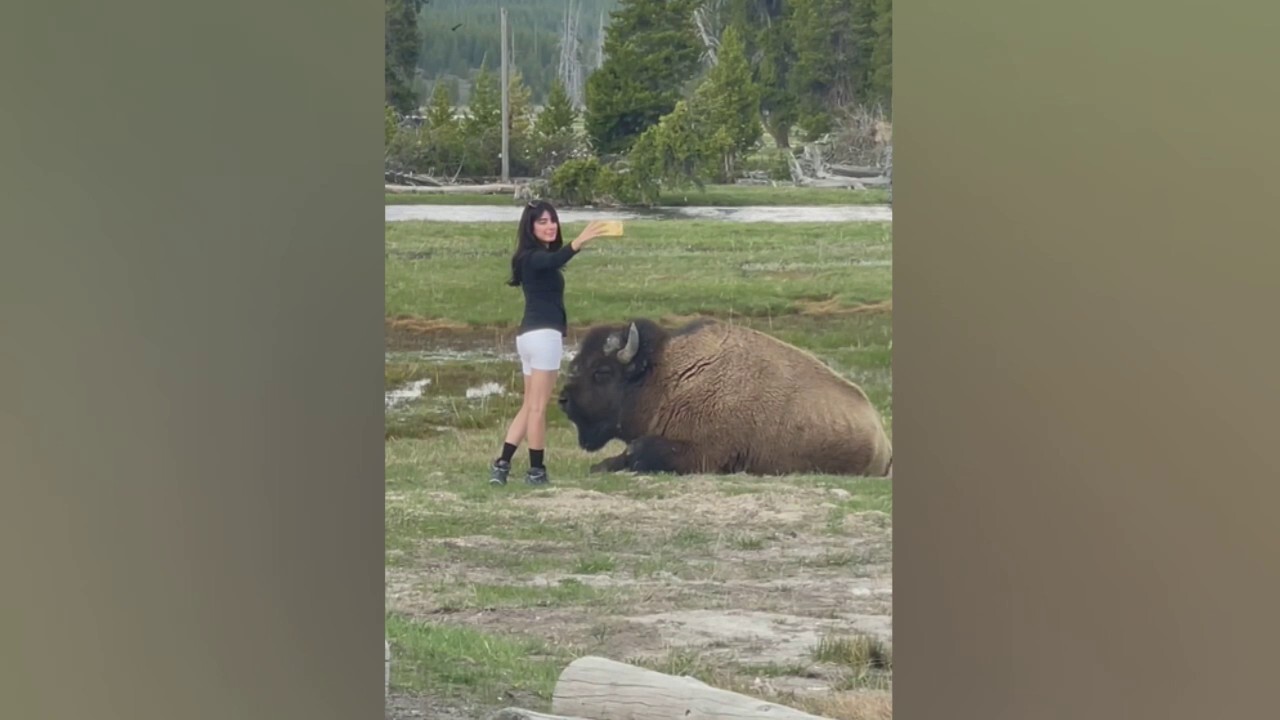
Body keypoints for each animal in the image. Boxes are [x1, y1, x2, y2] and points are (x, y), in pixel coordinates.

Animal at [555, 317, 896, 476]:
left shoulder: (703, 452)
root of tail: (882, 436)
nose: (564, 400)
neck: (667, 377)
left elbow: (638, 450)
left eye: (602, 371)